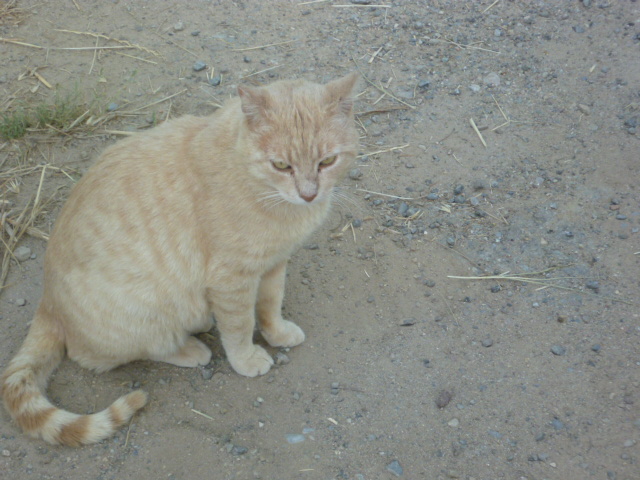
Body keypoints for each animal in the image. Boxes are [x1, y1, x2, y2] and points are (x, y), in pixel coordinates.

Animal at [1, 72, 360, 446]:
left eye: (327, 162)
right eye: (281, 165)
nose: (309, 194)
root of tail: (47, 302)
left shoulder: (274, 263)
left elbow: (270, 306)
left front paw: (277, 334)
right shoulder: (232, 279)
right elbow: (240, 325)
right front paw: (246, 358)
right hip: (144, 310)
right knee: (109, 353)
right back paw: (190, 349)